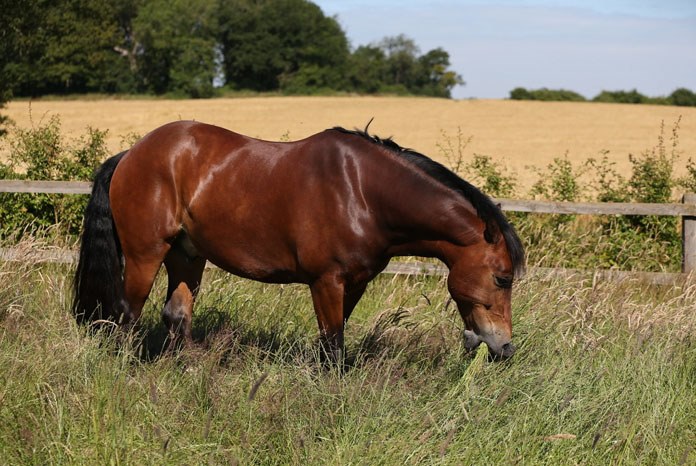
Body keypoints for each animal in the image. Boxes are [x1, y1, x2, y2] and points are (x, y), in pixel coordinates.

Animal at [73, 120, 524, 360]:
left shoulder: (353, 284)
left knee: (176, 316)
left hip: (187, 256)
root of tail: (130, 155)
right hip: (145, 256)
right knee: (126, 316)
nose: (504, 347)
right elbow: (334, 346)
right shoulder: (325, 281)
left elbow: (333, 340)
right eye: (502, 279)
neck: (363, 192)